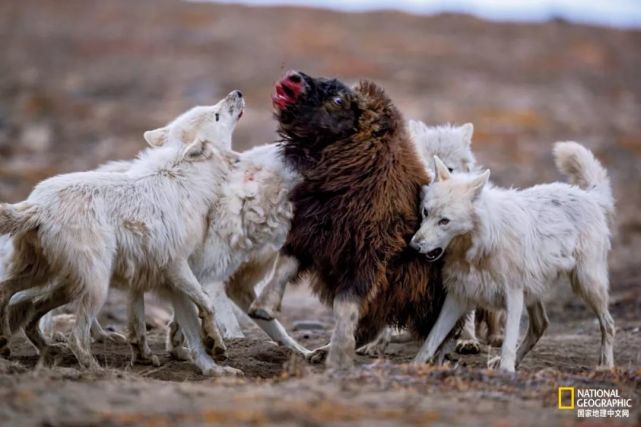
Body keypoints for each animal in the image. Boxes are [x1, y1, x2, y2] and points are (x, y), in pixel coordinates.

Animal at [410, 143, 616, 372]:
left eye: (444, 221)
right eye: (425, 212)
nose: (414, 245)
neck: (476, 251)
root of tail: (589, 196)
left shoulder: (513, 295)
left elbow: (507, 343)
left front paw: (506, 372)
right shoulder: (458, 297)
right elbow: (431, 340)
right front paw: (414, 366)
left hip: (587, 285)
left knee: (608, 324)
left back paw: (606, 366)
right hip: (536, 292)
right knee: (540, 325)